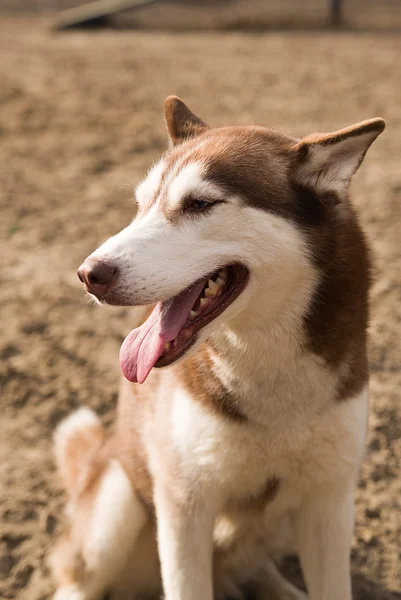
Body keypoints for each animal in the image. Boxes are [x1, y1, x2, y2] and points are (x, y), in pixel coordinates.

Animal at [51, 96, 382, 596]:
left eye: (200, 203)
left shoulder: (329, 502)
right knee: (78, 579)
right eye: (140, 205)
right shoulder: (184, 506)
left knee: (251, 566)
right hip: (116, 508)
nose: (89, 274)